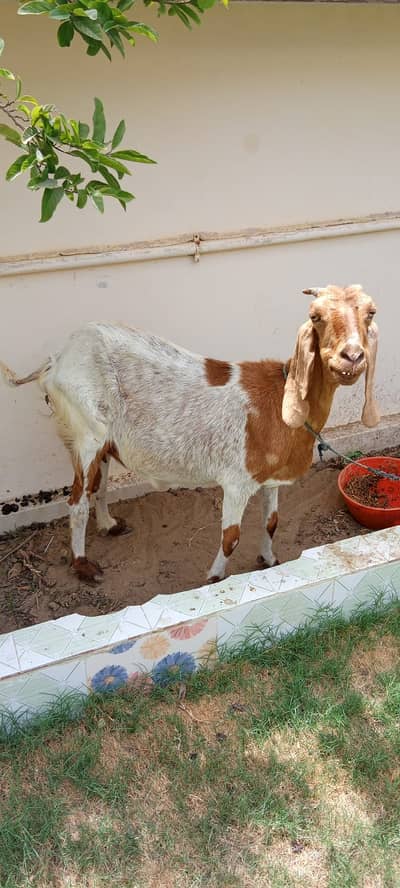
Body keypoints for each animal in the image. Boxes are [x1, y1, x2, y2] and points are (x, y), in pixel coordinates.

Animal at [1, 284, 379, 584]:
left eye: (370, 313)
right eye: (316, 316)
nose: (352, 356)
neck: (280, 401)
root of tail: (58, 360)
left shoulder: (270, 479)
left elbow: (271, 522)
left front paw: (269, 561)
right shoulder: (237, 481)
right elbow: (231, 537)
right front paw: (213, 578)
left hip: (101, 435)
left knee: (98, 481)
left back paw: (109, 524)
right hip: (86, 430)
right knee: (77, 498)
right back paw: (83, 565)